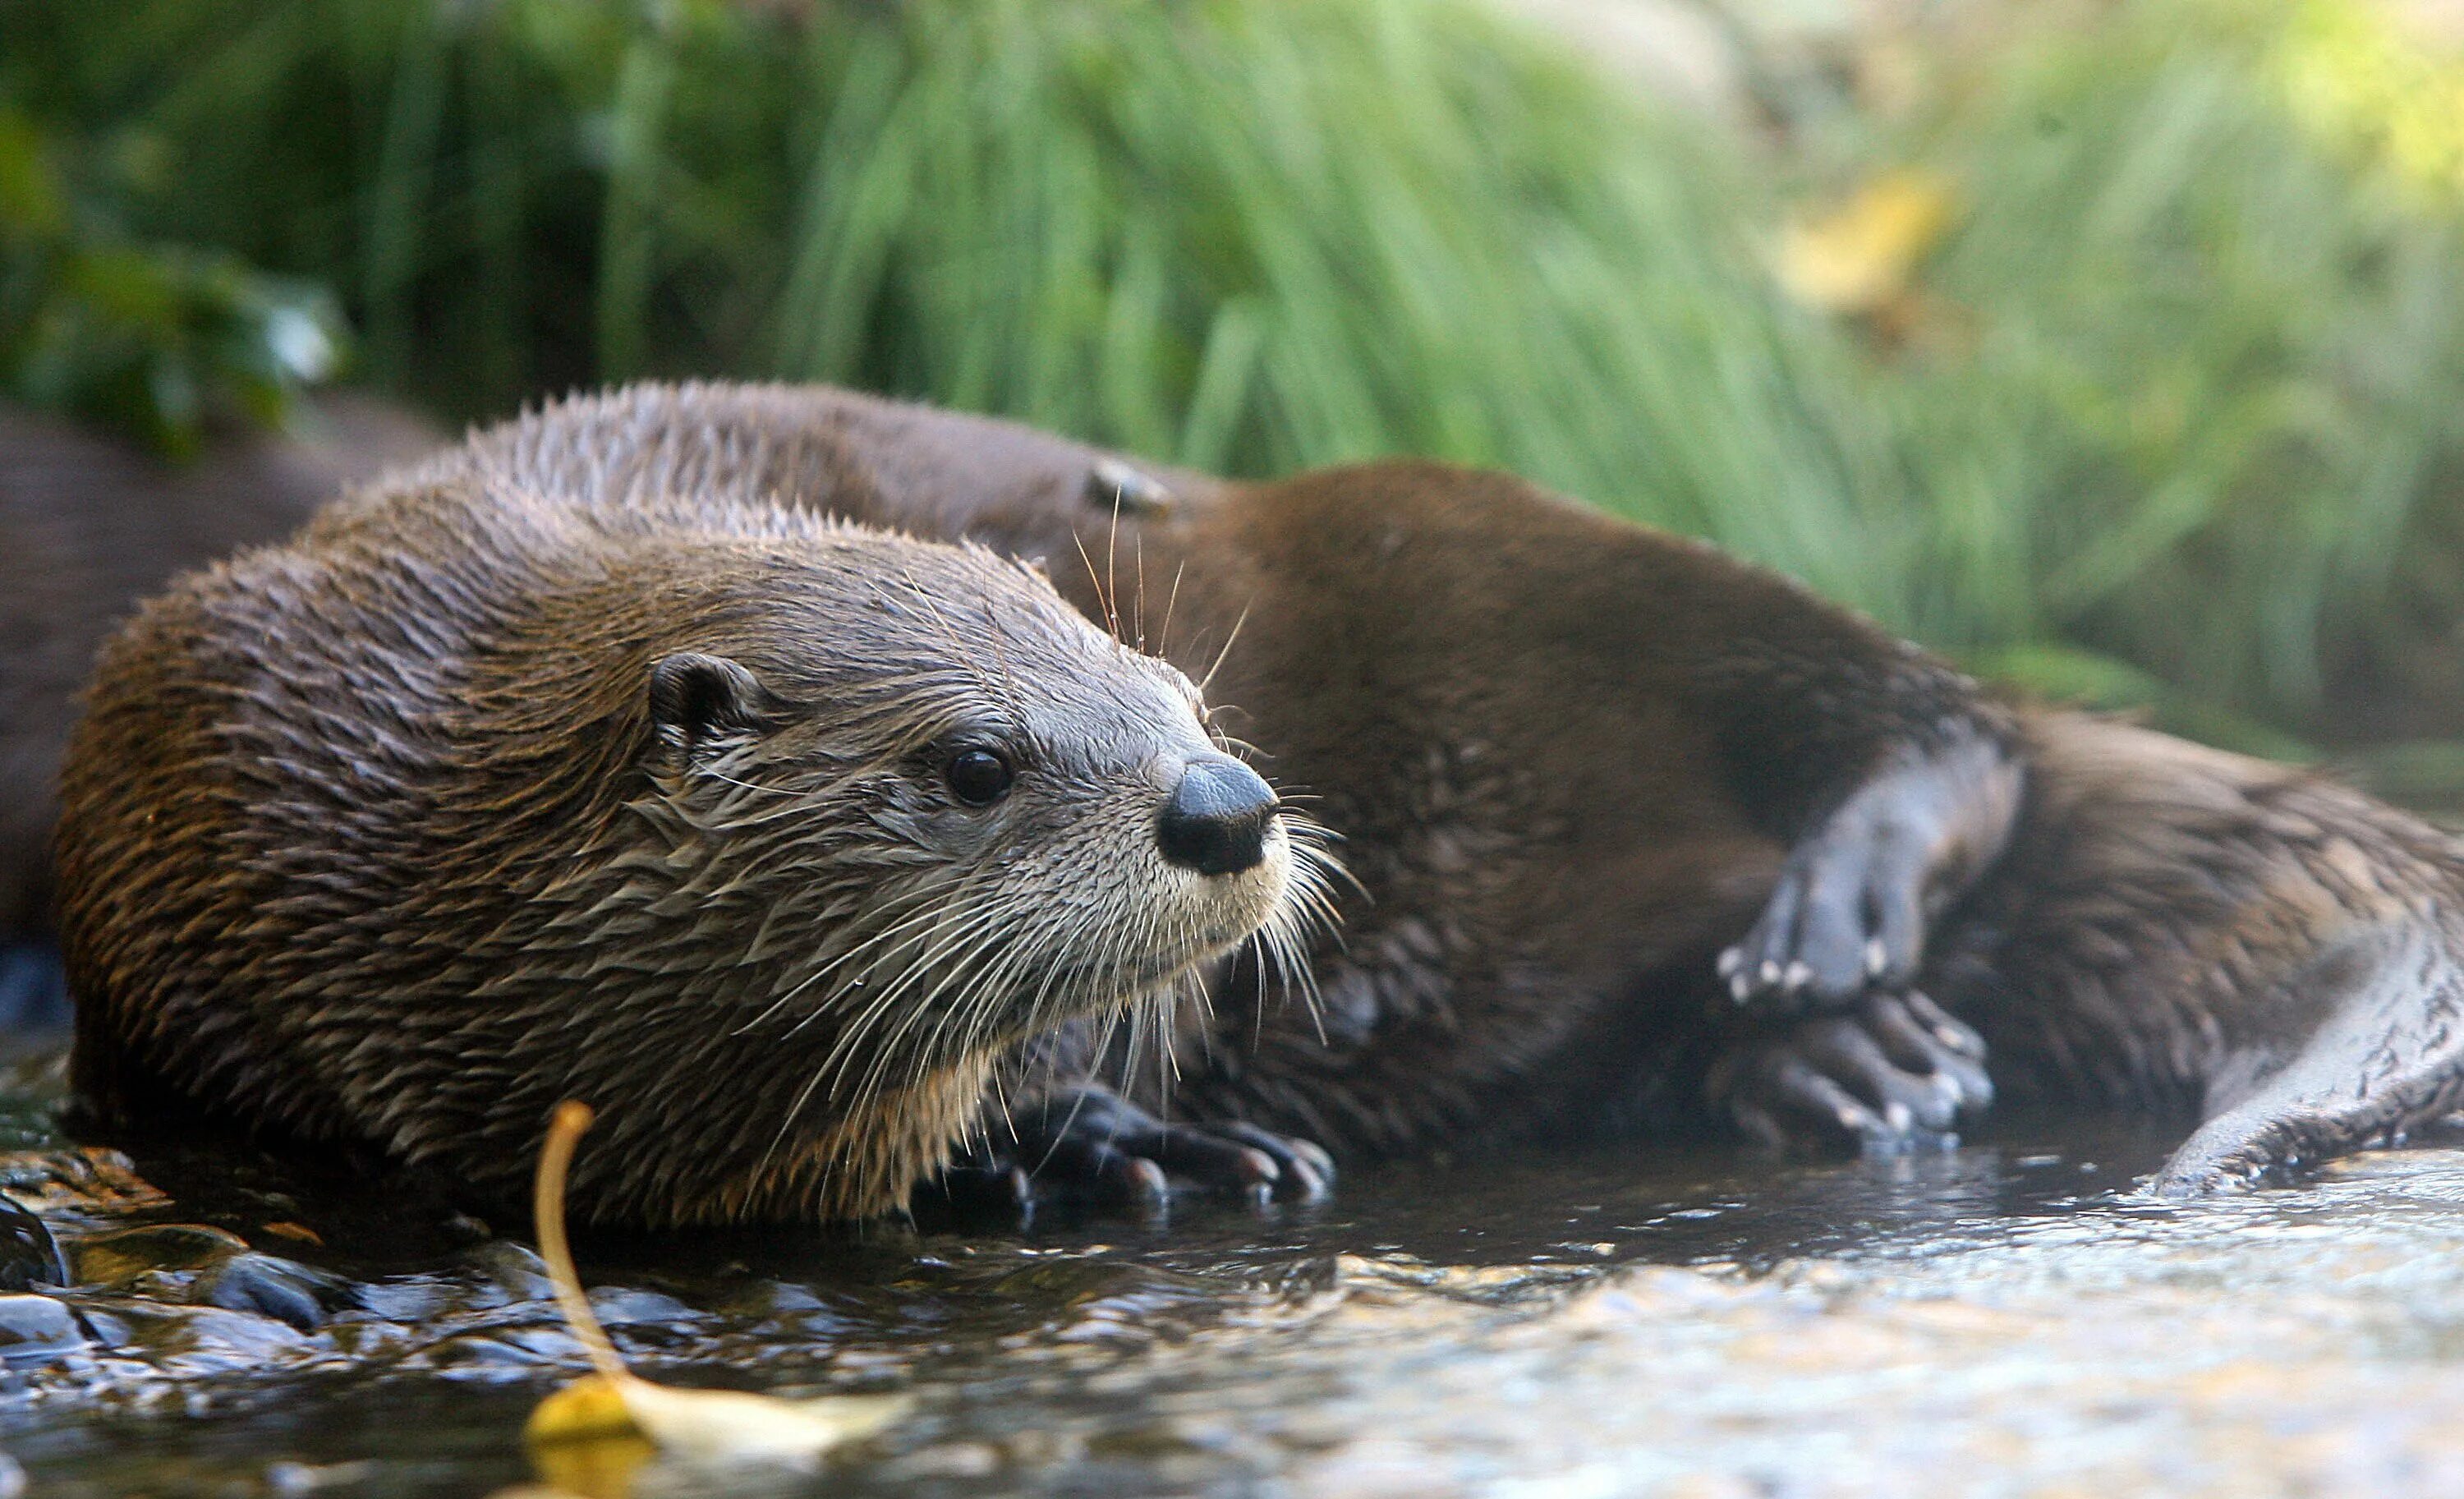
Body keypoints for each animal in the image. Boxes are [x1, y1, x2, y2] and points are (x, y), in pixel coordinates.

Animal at [375, 379, 2464, 1198]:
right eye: (968, 766)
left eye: (1160, 692)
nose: (1225, 802)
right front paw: (1112, 1143)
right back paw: (1833, 1058)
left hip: (1491, 530)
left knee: (1941, 717)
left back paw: (1834, 934)